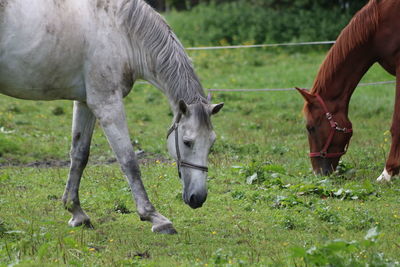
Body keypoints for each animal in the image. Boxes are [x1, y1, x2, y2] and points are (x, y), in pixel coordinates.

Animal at [0, 0, 223, 234]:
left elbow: (79, 155)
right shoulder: (107, 103)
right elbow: (129, 160)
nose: (198, 198)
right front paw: (154, 217)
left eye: (211, 143)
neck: (121, 31)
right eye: (187, 142)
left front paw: (76, 212)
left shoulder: (86, 103)